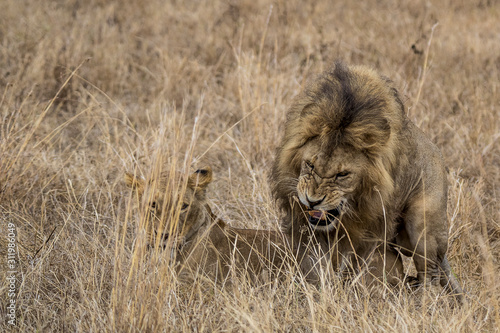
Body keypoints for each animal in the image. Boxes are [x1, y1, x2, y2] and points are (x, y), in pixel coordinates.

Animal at [272, 61, 462, 296]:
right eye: (310, 165)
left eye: (342, 175)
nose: (312, 201)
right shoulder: (301, 222)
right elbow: (314, 261)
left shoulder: (371, 228)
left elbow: (356, 264)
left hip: (424, 225)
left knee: (430, 273)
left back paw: (422, 299)